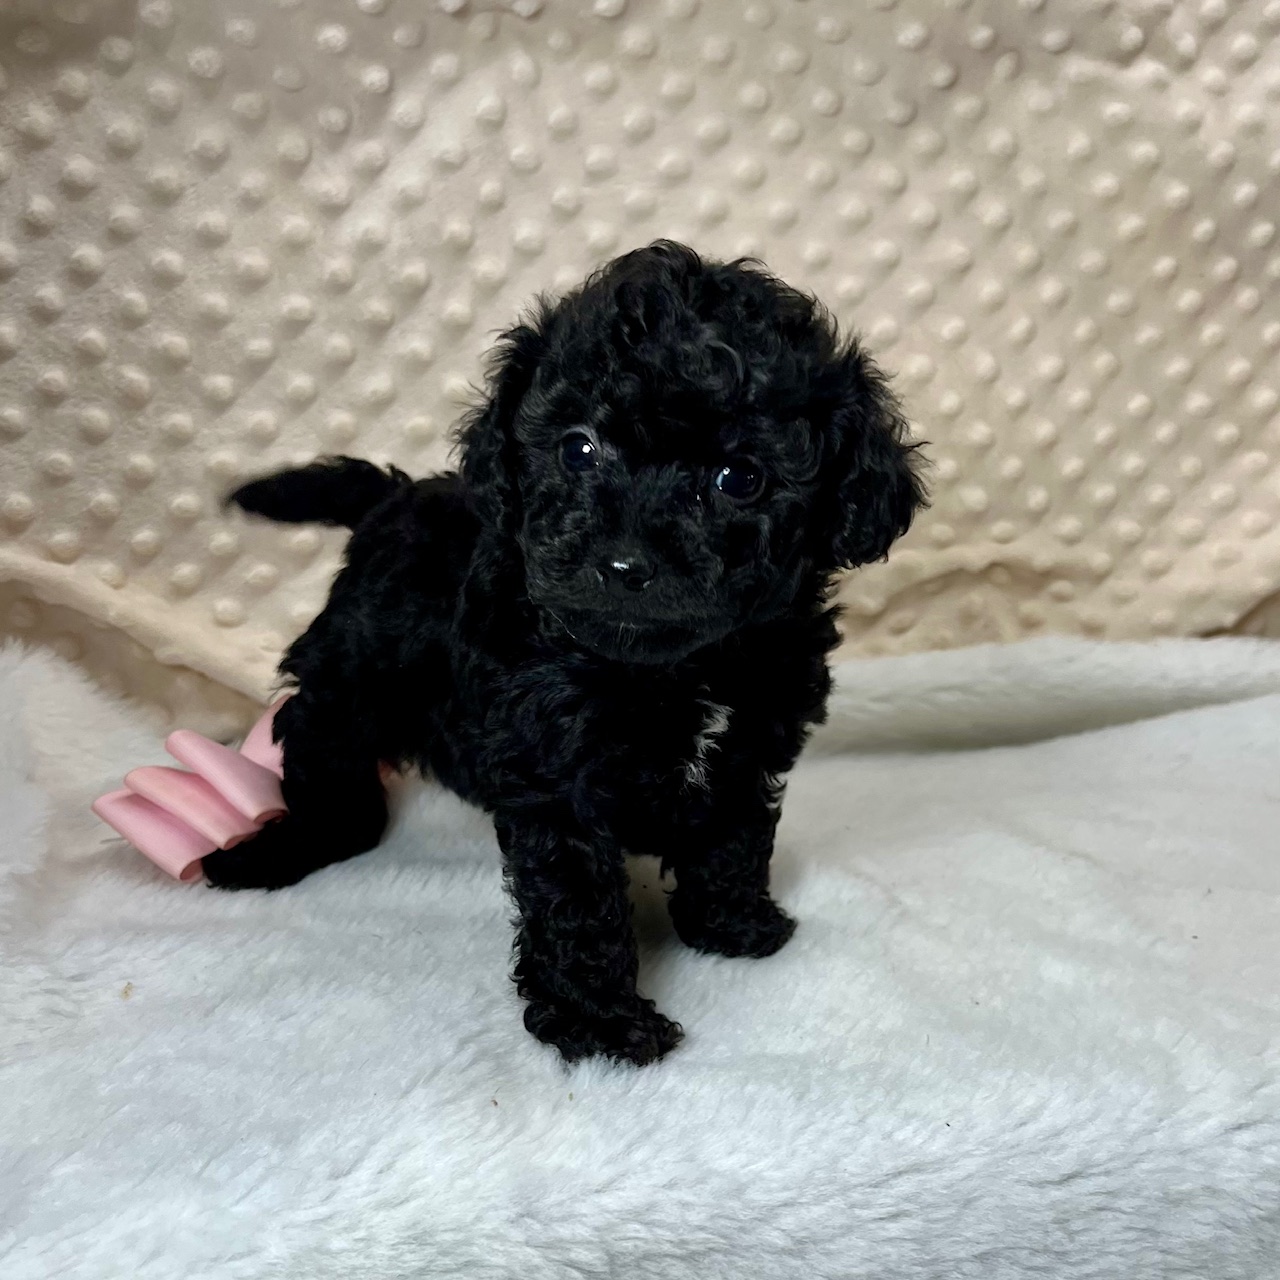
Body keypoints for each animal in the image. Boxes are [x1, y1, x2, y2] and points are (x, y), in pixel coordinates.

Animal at [209, 244, 921, 1064]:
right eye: (578, 449)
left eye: (740, 478)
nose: (623, 563)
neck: (678, 667)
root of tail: (393, 498)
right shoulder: (554, 772)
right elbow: (579, 905)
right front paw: (601, 1022)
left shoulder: (752, 738)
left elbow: (732, 838)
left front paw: (731, 925)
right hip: (353, 675)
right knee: (324, 752)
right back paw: (274, 852)